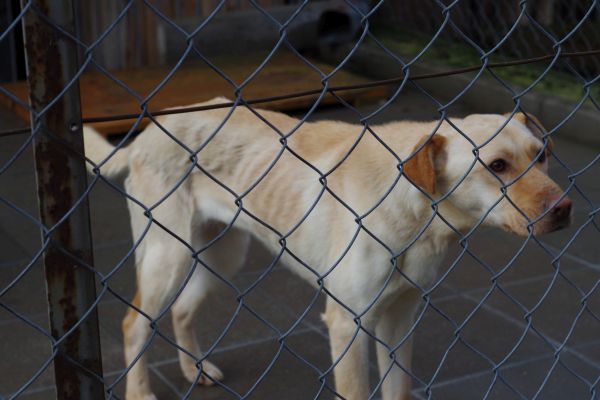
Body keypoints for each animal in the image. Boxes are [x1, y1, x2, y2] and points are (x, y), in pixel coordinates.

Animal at [84, 99, 572, 400]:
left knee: (183, 311)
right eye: (497, 166)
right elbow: (355, 389)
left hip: (221, 256)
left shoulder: (400, 317)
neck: (416, 209)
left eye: (541, 154)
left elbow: (398, 388)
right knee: (134, 324)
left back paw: (195, 370)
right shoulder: (347, 324)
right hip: (168, 256)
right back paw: (140, 392)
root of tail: (151, 128)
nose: (565, 209)